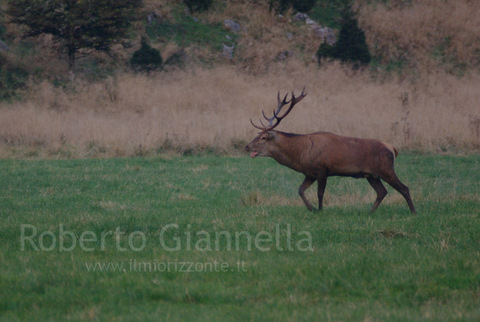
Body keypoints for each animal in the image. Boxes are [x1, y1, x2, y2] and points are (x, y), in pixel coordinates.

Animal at [244, 88, 416, 214]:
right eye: (257, 135)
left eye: (263, 138)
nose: (246, 146)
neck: (300, 154)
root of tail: (392, 148)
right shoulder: (309, 173)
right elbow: (300, 190)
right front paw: (312, 208)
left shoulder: (322, 169)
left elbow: (320, 193)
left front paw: (320, 210)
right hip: (372, 175)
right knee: (382, 191)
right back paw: (369, 212)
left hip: (386, 169)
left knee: (404, 188)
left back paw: (413, 212)